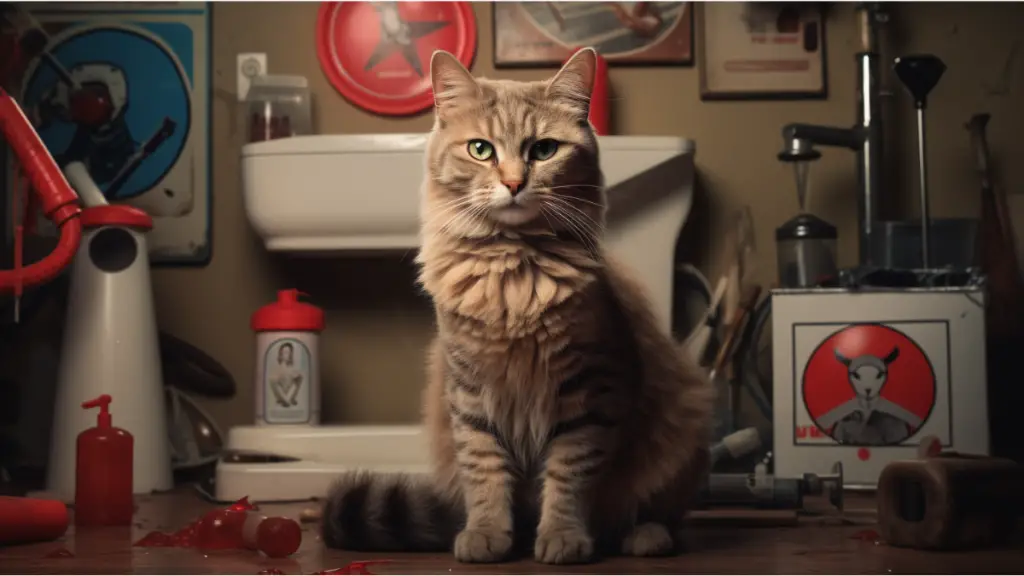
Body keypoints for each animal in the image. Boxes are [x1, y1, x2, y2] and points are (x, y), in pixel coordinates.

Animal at [319, 47, 712, 561]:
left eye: (543, 150)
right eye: (480, 149)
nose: (512, 182)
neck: (512, 275)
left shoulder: (590, 392)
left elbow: (569, 476)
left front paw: (563, 537)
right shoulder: (470, 392)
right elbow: (484, 471)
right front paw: (487, 533)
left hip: (681, 432)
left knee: (657, 513)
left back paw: (644, 536)